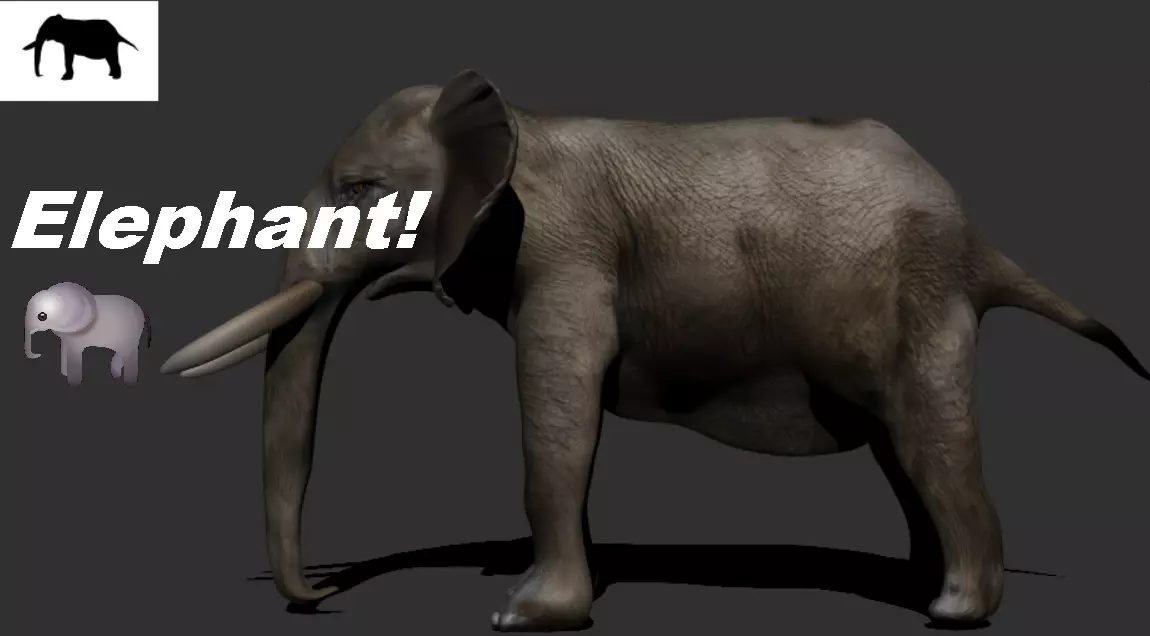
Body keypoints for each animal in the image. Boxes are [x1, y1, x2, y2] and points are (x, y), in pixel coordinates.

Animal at [159, 69, 1149, 631]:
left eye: (362, 190)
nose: (322, 602)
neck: (515, 122)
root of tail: (980, 237)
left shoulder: (565, 250)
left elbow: (558, 406)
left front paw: (523, 616)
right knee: (901, 453)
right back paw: (919, 586)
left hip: (921, 295)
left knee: (930, 442)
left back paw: (954, 612)